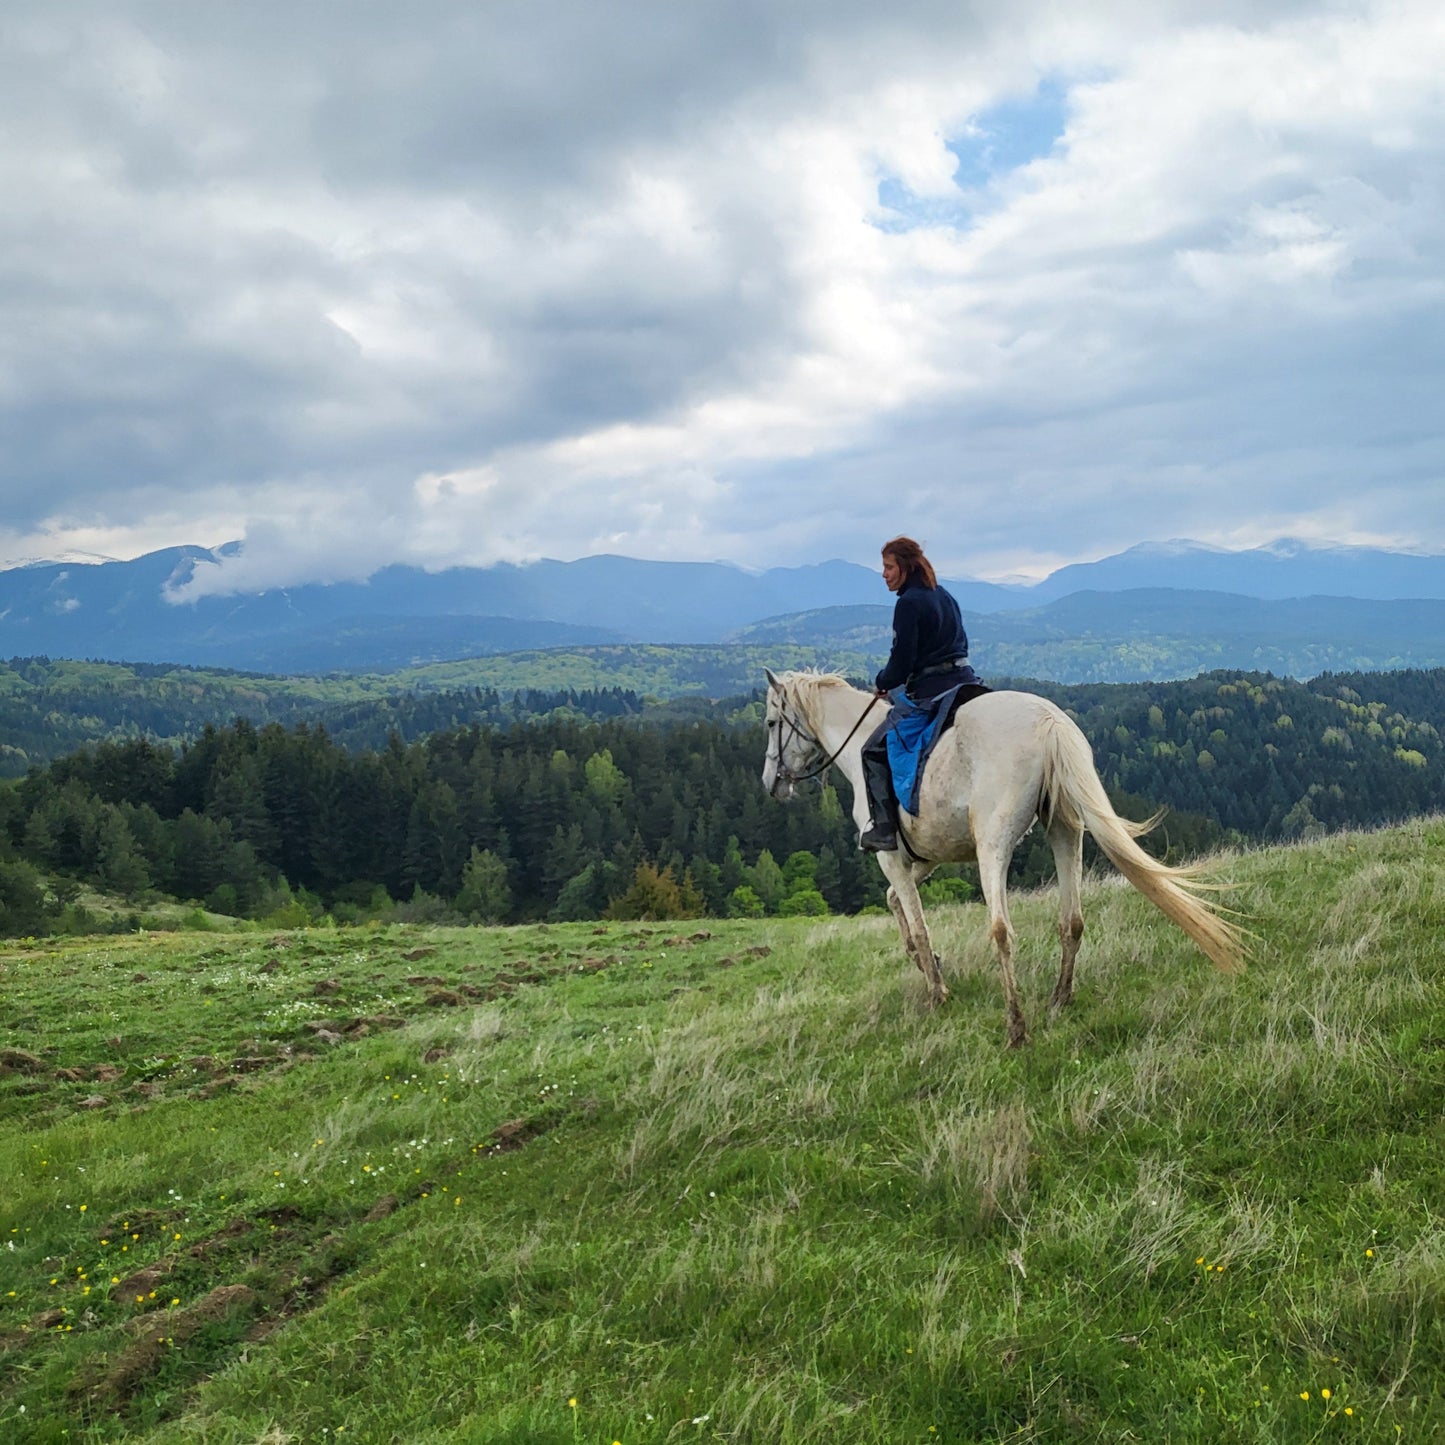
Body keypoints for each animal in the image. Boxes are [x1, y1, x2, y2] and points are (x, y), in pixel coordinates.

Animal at [761, 669, 1244, 1047]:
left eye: (770, 722)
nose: (771, 783)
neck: (860, 739)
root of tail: (1050, 723)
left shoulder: (893, 858)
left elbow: (917, 923)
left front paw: (936, 991)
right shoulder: (926, 858)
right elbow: (895, 903)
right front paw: (927, 965)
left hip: (993, 844)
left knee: (1001, 930)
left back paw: (1017, 1027)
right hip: (1065, 829)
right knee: (1072, 921)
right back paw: (1059, 999)